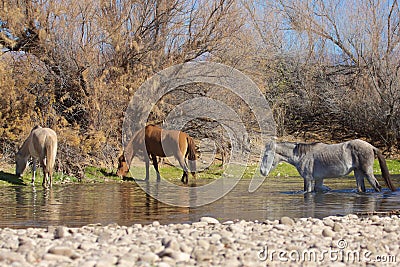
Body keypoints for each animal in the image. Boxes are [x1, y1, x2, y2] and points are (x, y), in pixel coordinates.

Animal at [260, 139, 396, 194]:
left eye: (266, 155)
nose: (262, 171)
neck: (301, 155)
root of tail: (371, 146)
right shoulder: (318, 180)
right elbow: (321, 189)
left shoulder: (308, 179)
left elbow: (308, 191)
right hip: (358, 172)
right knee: (361, 189)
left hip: (367, 172)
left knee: (377, 187)